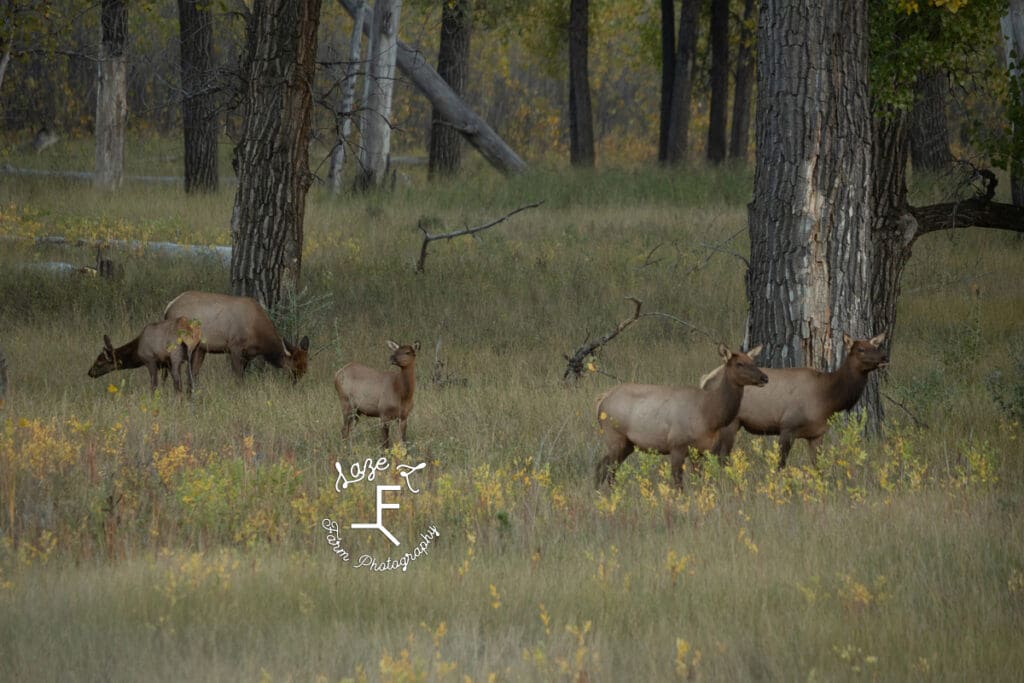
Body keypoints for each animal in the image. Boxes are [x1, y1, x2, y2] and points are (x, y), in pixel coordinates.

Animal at [161, 290, 307, 382]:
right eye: (295, 368)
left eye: (306, 368)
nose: (295, 384)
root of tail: (168, 308)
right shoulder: (234, 346)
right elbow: (238, 377)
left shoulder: (247, 355)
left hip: (199, 348)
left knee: (191, 372)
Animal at [593, 348, 770, 485]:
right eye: (739, 364)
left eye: (753, 361)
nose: (765, 377)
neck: (709, 415)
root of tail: (601, 400)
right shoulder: (677, 444)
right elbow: (678, 481)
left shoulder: (701, 450)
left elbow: (700, 479)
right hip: (615, 437)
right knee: (603, 467)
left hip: (627, 444)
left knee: (606, 467)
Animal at [712, 331, 888, 471]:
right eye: (861, 349)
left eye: (875, 347)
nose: (884, 357)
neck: (828, 400)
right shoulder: (788, 426)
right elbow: (780, 465)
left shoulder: (817, 434)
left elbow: (818, 468)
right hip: (730, 422)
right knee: (721, 457)